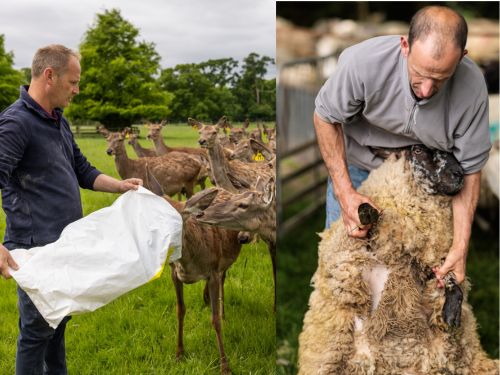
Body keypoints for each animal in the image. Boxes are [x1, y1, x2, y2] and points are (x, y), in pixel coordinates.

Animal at [145, 167, 242, 375]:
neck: (190, 264)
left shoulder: (213, 269)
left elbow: (214, 319)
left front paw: (225, 366)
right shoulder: (174, 273)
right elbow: (180, 309)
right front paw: (179, 354)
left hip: (223, 260)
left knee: (223, 280)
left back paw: (223, 313)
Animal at [298, 146, 498, 375]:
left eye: (453, 152)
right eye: (418, 150)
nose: (458, 174)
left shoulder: (432, 258)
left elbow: (451, 279)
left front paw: (451, 310)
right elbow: (365, 217)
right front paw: (366, 211)